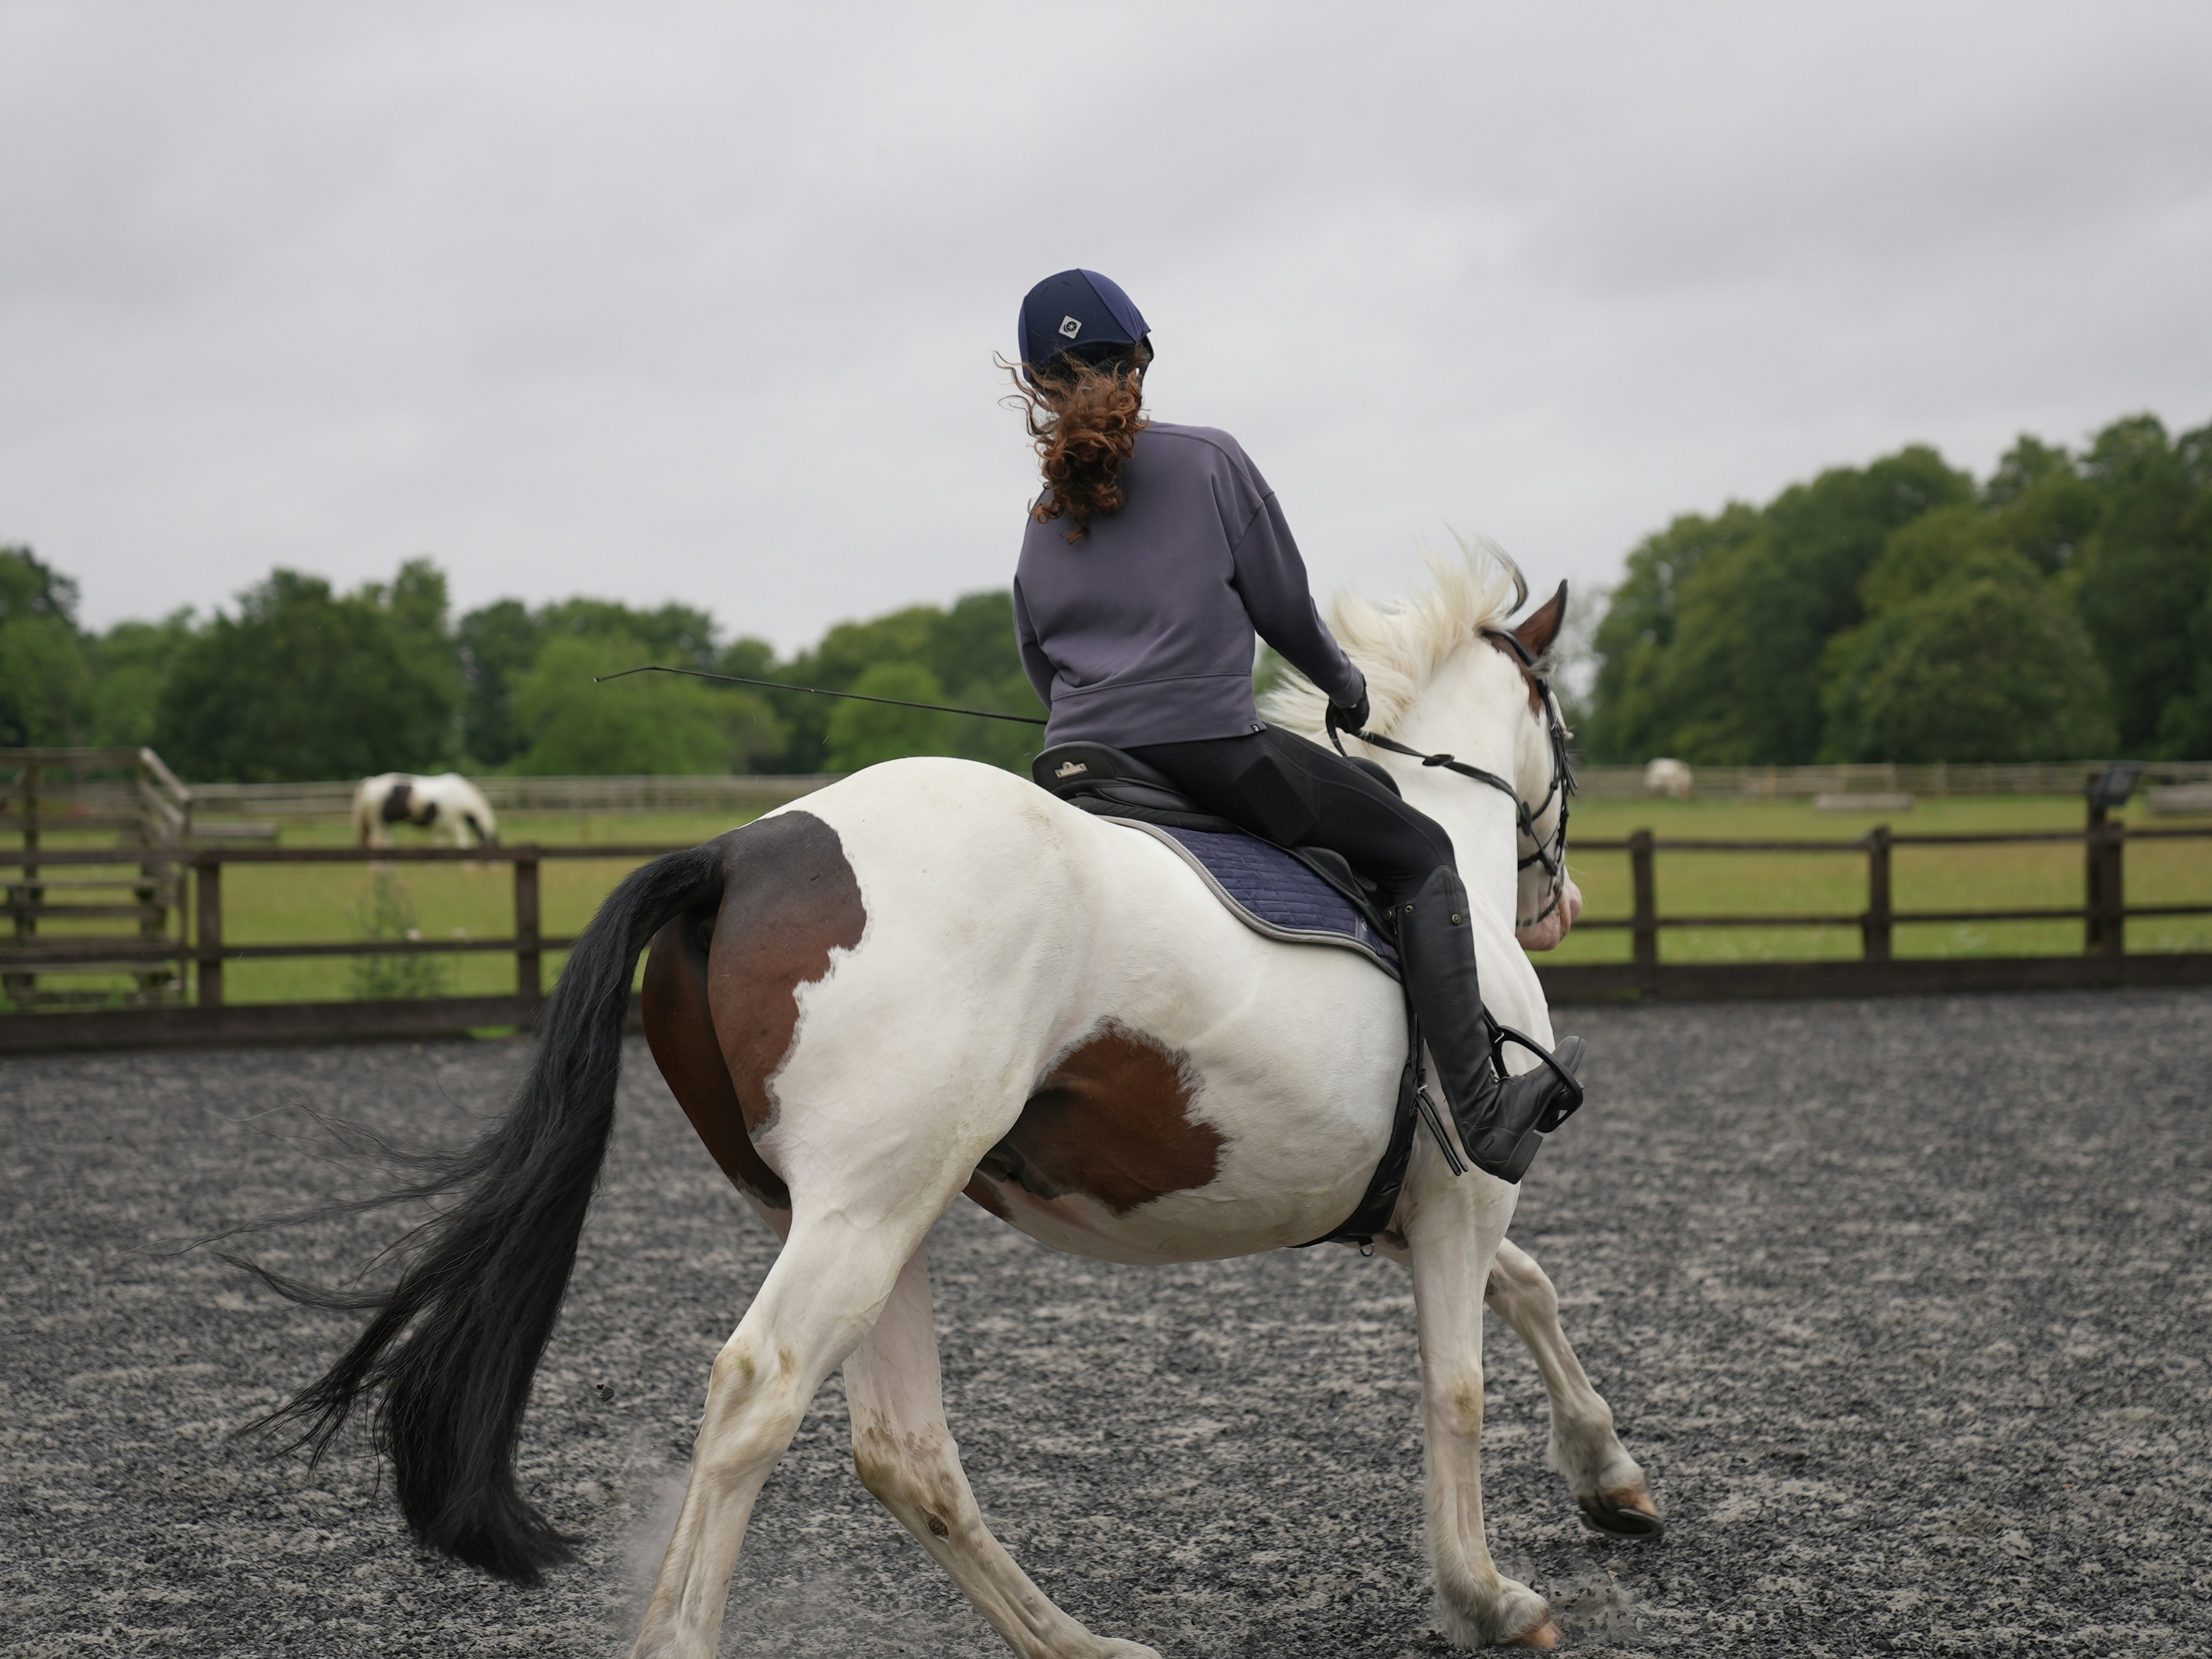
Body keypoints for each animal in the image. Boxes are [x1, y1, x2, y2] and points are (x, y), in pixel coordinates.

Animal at [351, 771, 499, 849]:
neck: (462, 796)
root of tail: (371, 782)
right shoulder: (455, 823)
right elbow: (463, 843)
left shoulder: (441, 827)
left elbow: (440, 844)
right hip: (379, 823)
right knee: (376, 843)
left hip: (387, 824)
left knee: (386, 844)